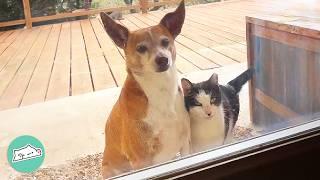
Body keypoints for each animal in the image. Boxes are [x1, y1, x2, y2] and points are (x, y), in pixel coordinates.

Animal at [100, 0, 190, 179]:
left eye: (165, 42)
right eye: (141, 48)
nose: (162, 59)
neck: (160, 89)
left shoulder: (186, 146)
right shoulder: (141, 160)